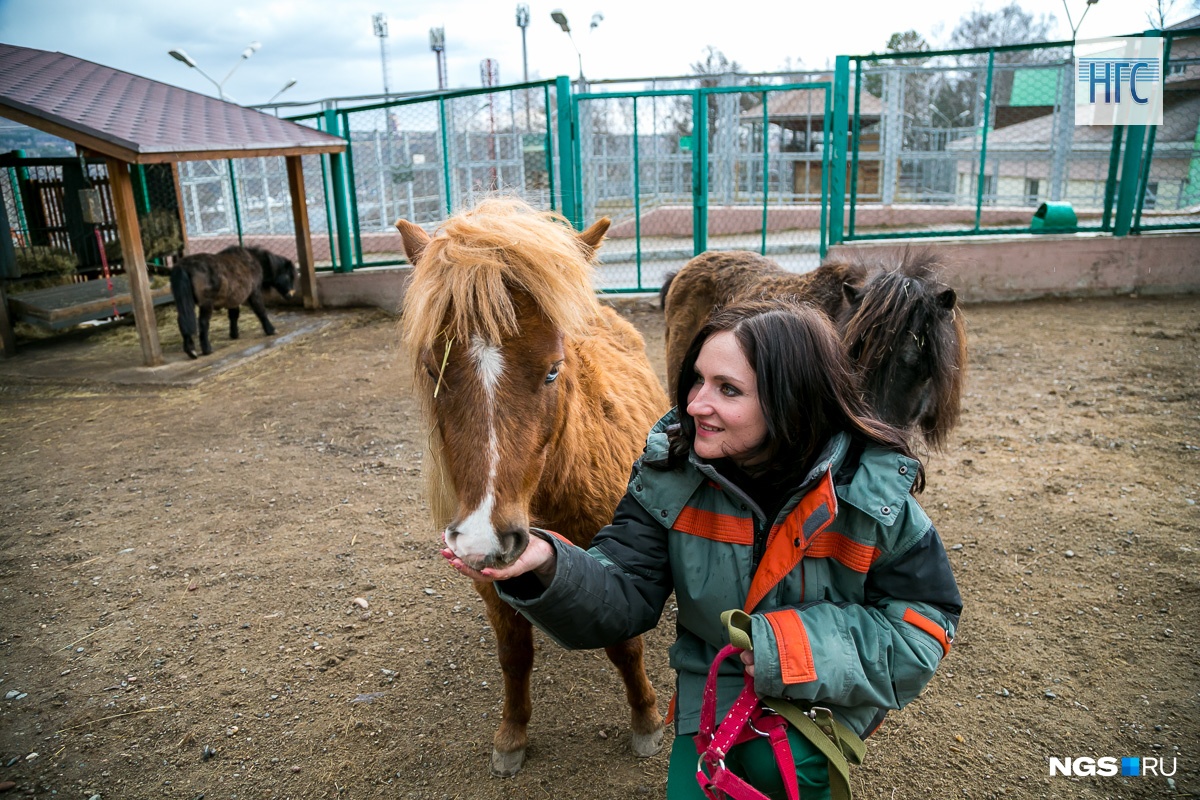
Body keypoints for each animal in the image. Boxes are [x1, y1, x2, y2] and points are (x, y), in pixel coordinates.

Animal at [169, 244, 297, 357]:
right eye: (289, 276)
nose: (291, 295)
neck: (253, 260)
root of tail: (183, 266)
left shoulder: (234, 299)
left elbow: (234, 315)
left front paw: (234, 334)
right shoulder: (254, 292)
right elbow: (260, 311)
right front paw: (271, 330)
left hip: (185, 303)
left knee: (183, 321)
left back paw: (190, 350)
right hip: (206, 304)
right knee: (203, 322)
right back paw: (207, 349)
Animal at [398, 196, 672, 777]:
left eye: (552, 370)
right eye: (434, 369)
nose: (483, 536)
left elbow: (625, 645)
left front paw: (645, 719)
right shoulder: (492, 581)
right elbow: (514, 655)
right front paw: (513, 733)